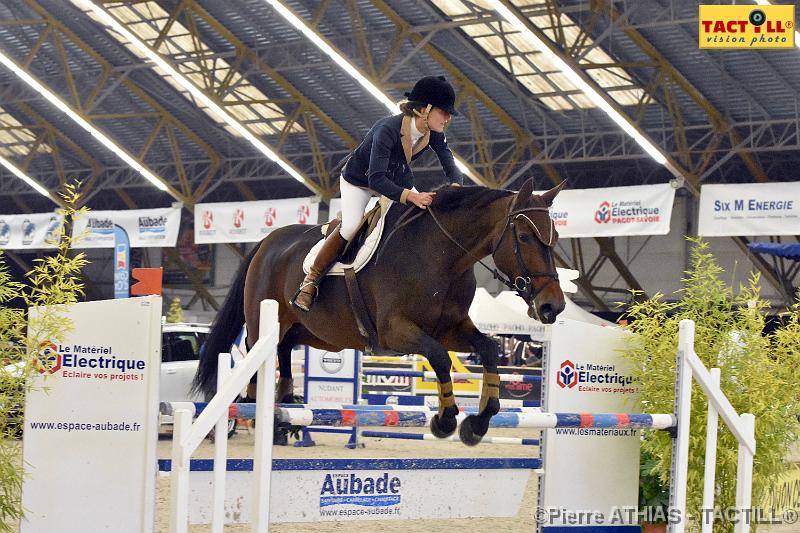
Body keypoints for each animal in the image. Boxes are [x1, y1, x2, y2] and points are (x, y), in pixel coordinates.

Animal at [195, 179, 564, 444]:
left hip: (300, 331)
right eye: (524, 236)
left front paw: (478, 422)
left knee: (283, 363)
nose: (553, 306)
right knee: (257, 366)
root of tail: (266, 243)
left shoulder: (451, 328)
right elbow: (439, 357)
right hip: (263, 323)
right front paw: (445, 420)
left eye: (556, 235)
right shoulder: (395, 332)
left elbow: (487, 348)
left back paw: (281, 418)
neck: (442, 256)